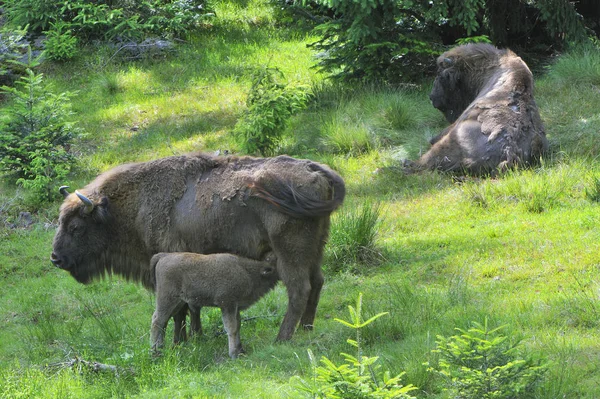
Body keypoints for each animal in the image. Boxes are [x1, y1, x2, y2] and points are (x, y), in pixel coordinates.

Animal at [51, 152, 344, 340]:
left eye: (76, 227)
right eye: (60, 221)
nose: (55, 258)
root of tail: (315, 169)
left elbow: (180, 309)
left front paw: (180, 341)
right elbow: (193, 306)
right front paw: (196, 336)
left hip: (290, 252)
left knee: (299, 289)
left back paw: (282, 338)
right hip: (316, 248)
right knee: (317, 282)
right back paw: (306, 329)